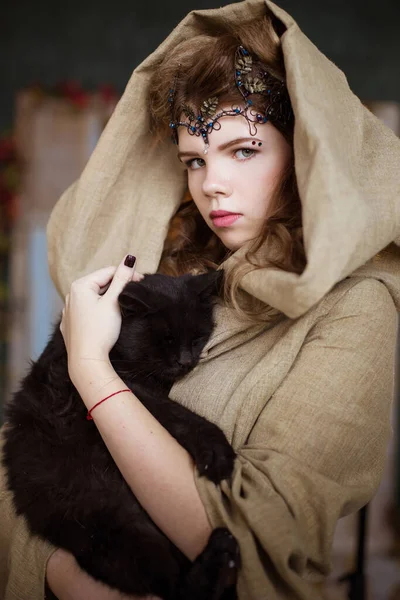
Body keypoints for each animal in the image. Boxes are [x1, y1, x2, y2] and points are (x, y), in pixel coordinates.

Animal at [2, 270, 238, 600]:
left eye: (196, 338)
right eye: (165, 340)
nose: (185, 361)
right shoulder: (129, 388)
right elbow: (177, 414)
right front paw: (217, 452)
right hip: (110, 521)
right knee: (170, 586)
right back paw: (221, 553)